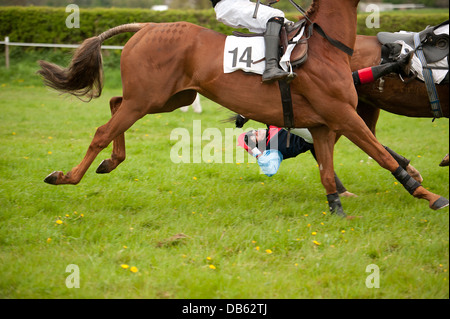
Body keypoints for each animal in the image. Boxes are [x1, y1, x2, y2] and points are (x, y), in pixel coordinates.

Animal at [37, 0, 448, 216]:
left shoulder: (323, 124)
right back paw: (67, 176)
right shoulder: (344, 116)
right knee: (102, 130)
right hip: (149, 98)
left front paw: (336, 207)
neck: (326, 48)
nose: (399, 53)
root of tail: (148, 25)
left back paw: (111, 160)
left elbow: (328, 172)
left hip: (167, 98)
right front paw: (428, 195)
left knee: (114, 103)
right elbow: (383, 156)